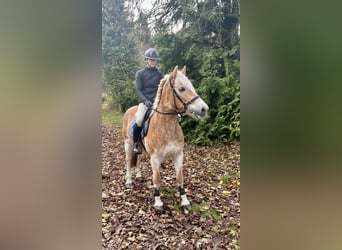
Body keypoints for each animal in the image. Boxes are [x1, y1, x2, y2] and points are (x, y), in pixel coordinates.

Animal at [123, 65, 208, 210]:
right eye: (182, 88)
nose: (204, 109)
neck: (165, 126)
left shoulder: (178, 155)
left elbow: (180, 178)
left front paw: (184, 201)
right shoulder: (155, 158)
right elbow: (156, 179)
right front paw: (158, 202)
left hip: (139, 147)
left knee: (138, 158)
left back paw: (138, 176)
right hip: (128, 144)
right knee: (129, 161)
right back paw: (129, 181)